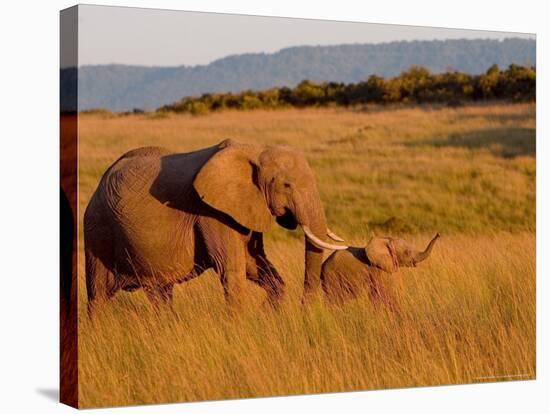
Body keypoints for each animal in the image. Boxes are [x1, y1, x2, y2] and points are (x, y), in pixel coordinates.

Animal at [84, 137, 348, 312]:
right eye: (286, 185)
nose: (306, 309)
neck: (256, 150)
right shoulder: (210, 212)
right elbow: (232, 269)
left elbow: (254, 263)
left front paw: (267, 313)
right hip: (97, 229)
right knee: (98, 295)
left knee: (159, 293)